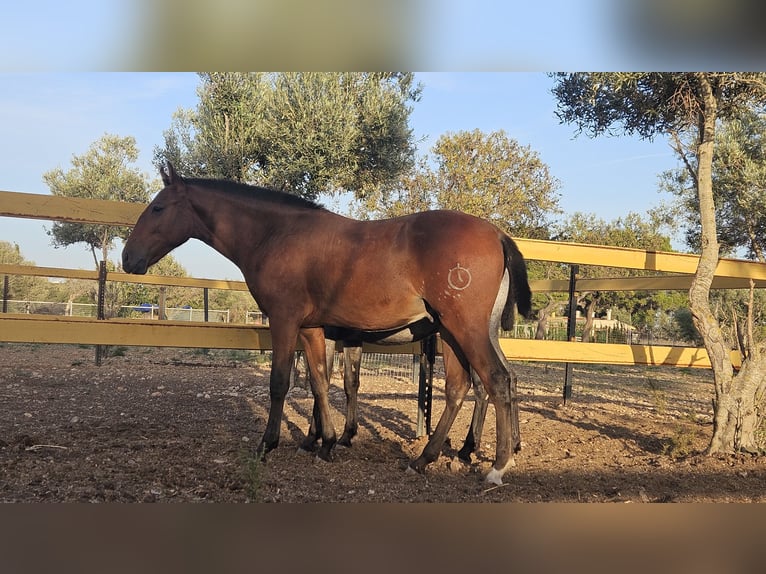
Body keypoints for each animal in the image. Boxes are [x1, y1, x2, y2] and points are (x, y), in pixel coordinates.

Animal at [124, 163, 536, 486]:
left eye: (158, 207)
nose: (129, 258)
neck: (277, 234)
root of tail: (497, 234)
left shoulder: (285, 321)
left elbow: (281, 383)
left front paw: (269, 444)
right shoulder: (312, 329)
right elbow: (320, 381)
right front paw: (325, 442)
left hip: (466, 329)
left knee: (496, 381)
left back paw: (497, 466)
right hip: (451, 332)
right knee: (460, 387)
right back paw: (424, 459)